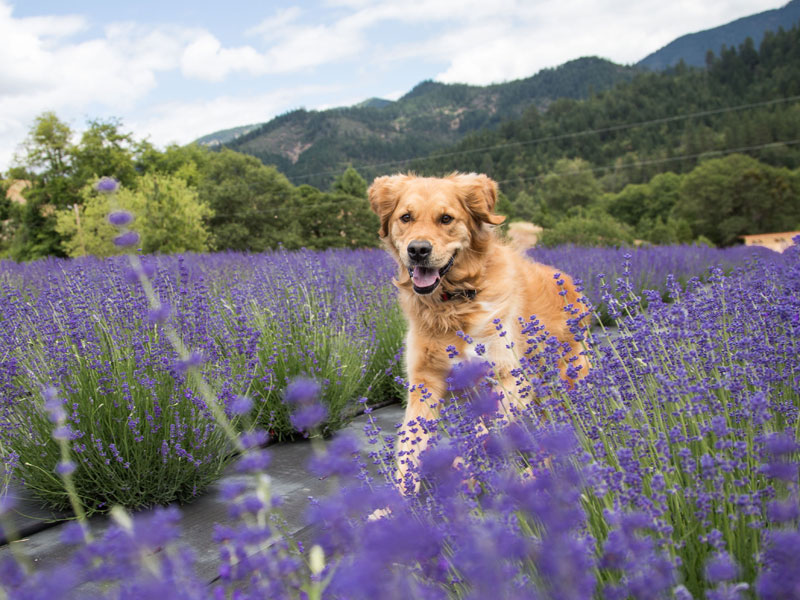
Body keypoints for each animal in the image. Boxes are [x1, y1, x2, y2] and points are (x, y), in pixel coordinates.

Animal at [368, 171, 588, 490]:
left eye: (446, 218)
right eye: (406, 217)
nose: (418, 250)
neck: (455, 303)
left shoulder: (509, 376)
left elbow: (483, 432)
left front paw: (464, 469)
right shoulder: (424, 382)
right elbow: (409, 451)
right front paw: (396, 500)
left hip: (564, 384)